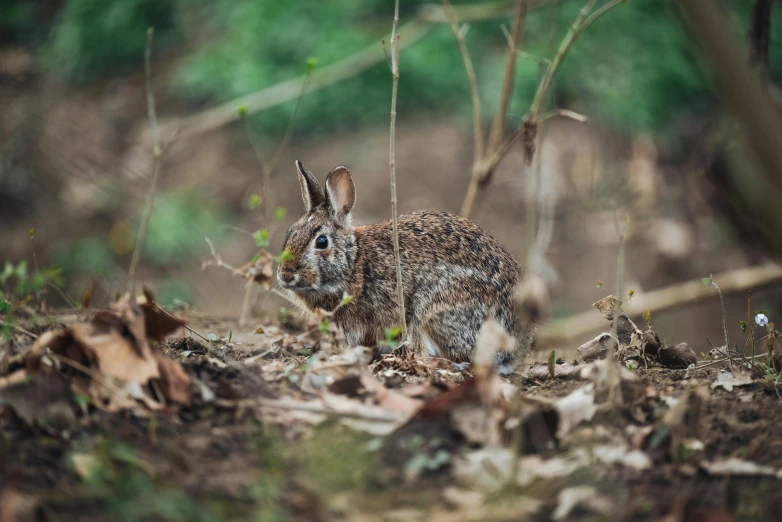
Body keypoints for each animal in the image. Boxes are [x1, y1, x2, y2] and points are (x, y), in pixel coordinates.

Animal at [278, 159, 540, 374]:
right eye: (289, 235)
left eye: (321, 242)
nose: (285, 274)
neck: (354, 264)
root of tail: (515, 345)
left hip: (435, 312)